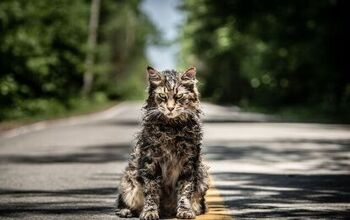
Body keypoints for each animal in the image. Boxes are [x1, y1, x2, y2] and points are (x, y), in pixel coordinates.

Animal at [115, 66, 209, 219]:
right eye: (162, 96)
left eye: (179, 97)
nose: (170, 108)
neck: (171, 128)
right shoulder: (151, 161)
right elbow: (151, 191)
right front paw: (149, 212)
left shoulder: (188, 162)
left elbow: (185, 189)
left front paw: (185, 210)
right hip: (128, 181)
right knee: (122, 202)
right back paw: (126, 211)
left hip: (203, 176)